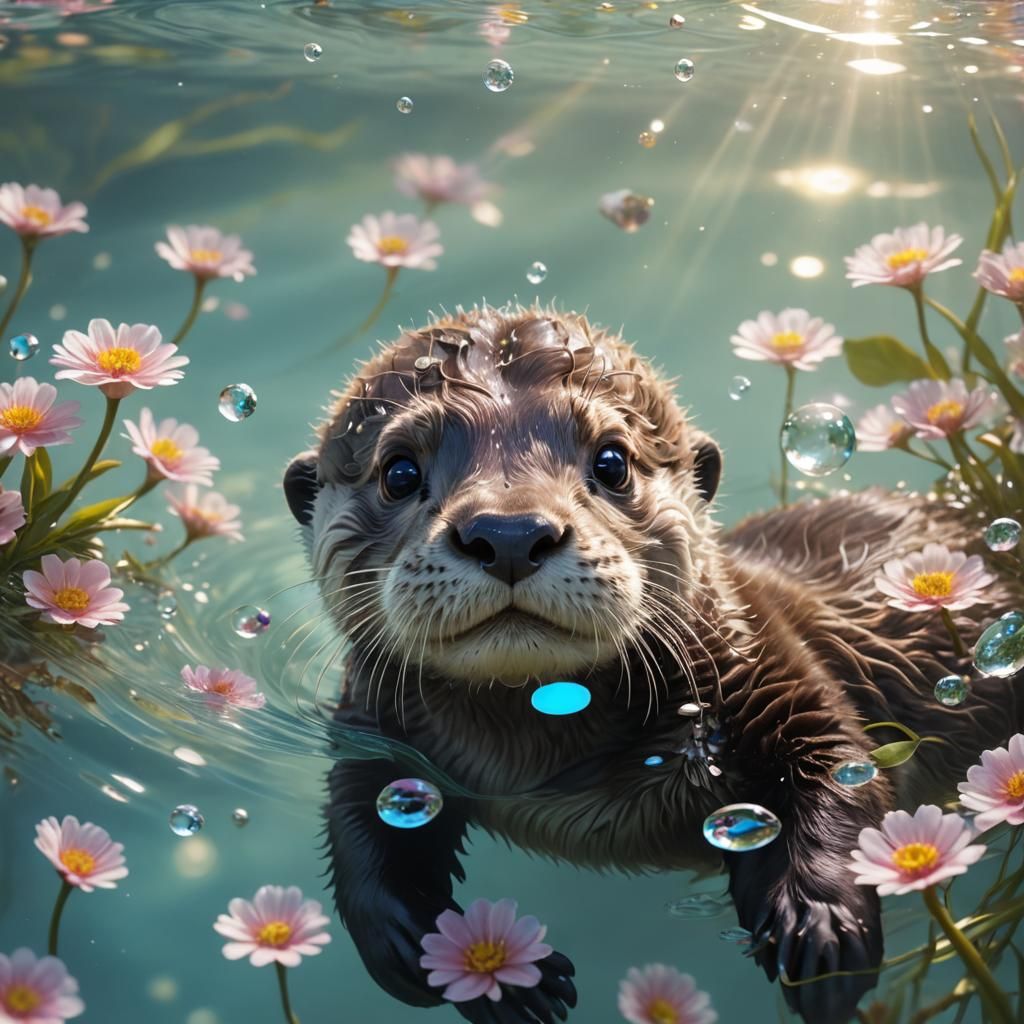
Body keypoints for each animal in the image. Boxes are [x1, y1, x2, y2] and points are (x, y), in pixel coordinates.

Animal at [282, 303, 1024, 1024]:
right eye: (399, 471)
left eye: (613, 461)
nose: (510, 531)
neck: (537, 757)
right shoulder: (373, 735)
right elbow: (361, 840)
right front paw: (483, 969)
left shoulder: (775, 664)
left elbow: (843, 769)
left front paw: (818, 924)